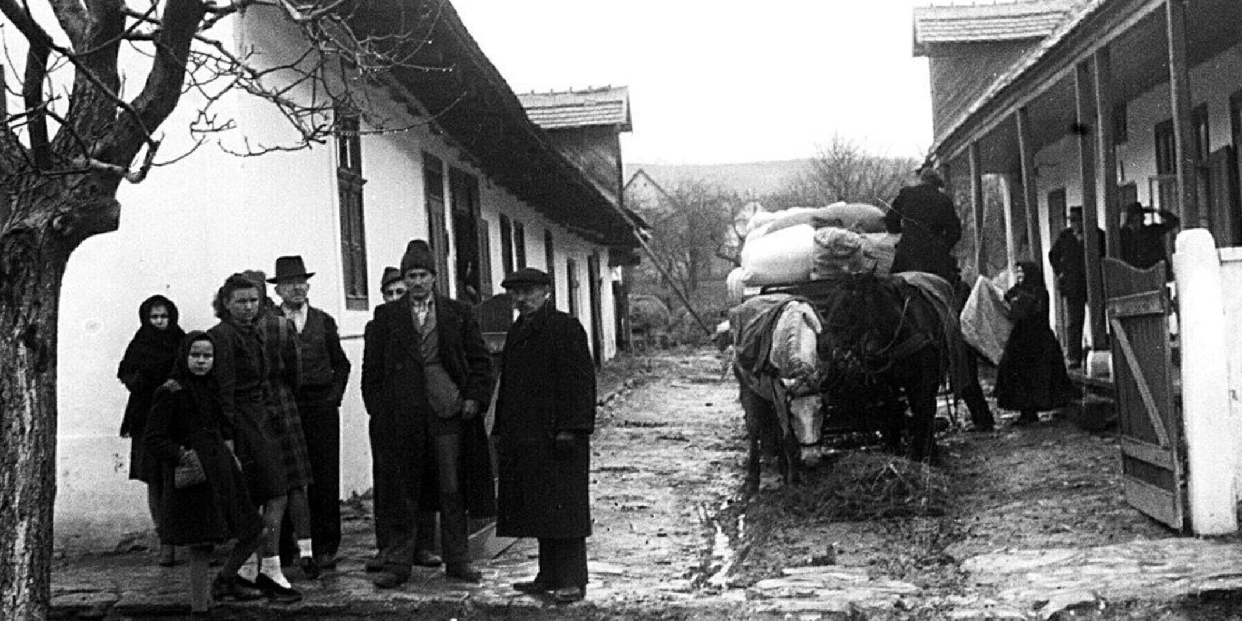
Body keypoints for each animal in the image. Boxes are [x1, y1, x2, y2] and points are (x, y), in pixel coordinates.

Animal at [725, 295, 824, 489]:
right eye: (793, 415)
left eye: (820, 410)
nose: (811, 459)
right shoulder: (780, 394)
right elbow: (789, 438)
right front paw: (794, 480)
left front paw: (790, 473)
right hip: (749, 389)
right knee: (754, 426)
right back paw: (753, 479)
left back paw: (783, 468)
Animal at [814, 271, 968, 466]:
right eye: (828, 304)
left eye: (848, 305)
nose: (823, 345)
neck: (900, 331)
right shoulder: (886, 383)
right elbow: (892, 409)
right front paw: (895, 450)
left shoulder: (923, 380)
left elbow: (922, 409)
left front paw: (926, 454)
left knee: (926, 407)